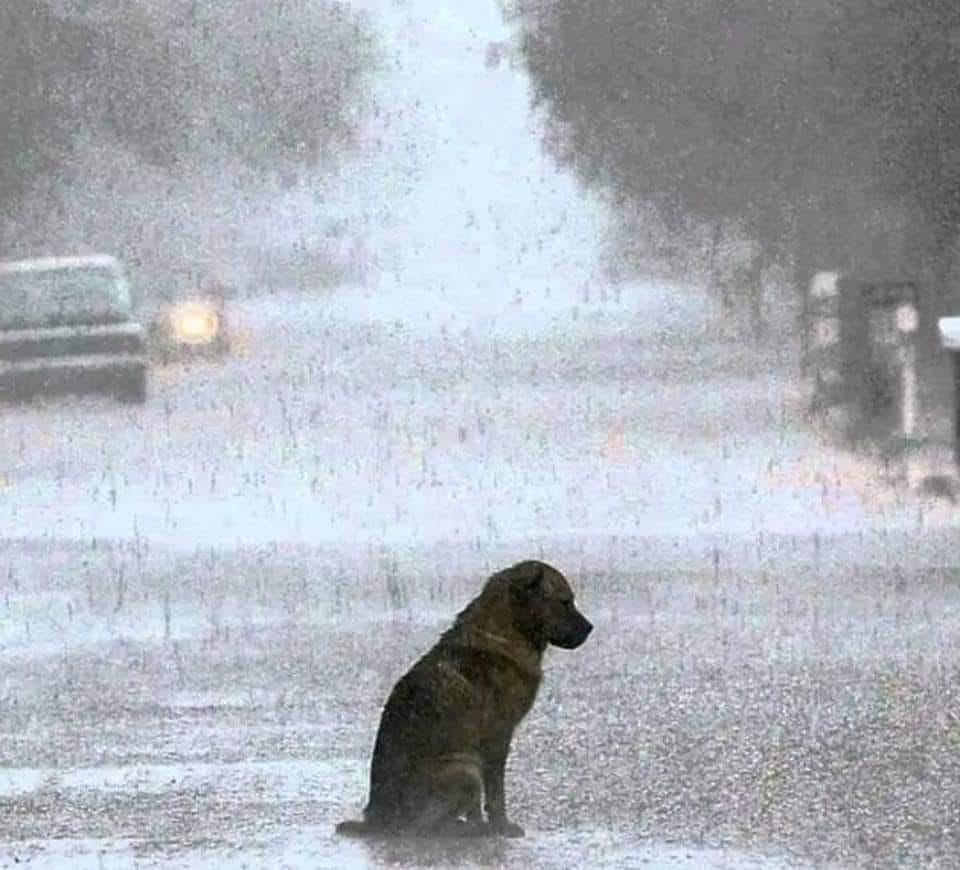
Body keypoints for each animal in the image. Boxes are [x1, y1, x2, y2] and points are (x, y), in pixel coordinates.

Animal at [338, 560, 592, 836]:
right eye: (565, 602)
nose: (590, 629)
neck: (504, 632)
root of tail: (376, 818)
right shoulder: (497, 737)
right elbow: (496, 792)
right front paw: (501, 825)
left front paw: (484, 823)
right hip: (465, 770)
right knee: (423, 827)